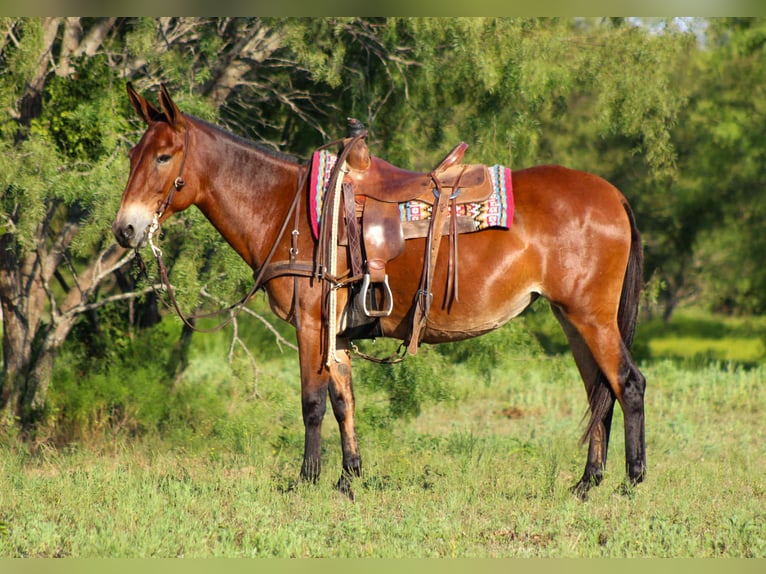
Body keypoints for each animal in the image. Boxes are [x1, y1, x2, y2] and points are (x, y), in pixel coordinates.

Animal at [112, 83, 646, 500]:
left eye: (163, 157)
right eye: (133, 155)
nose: (125, 230)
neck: (286, 209)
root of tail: (614, 195)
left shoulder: (311, 324)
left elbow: (311, 402)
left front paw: (306, 480)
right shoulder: (337, 333)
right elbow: (343, 401)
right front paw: (348, 479)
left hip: (592, 318)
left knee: (628, 384)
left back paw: (631, 481)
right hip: (571, 318)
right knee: (599, 391)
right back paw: (586, 483)